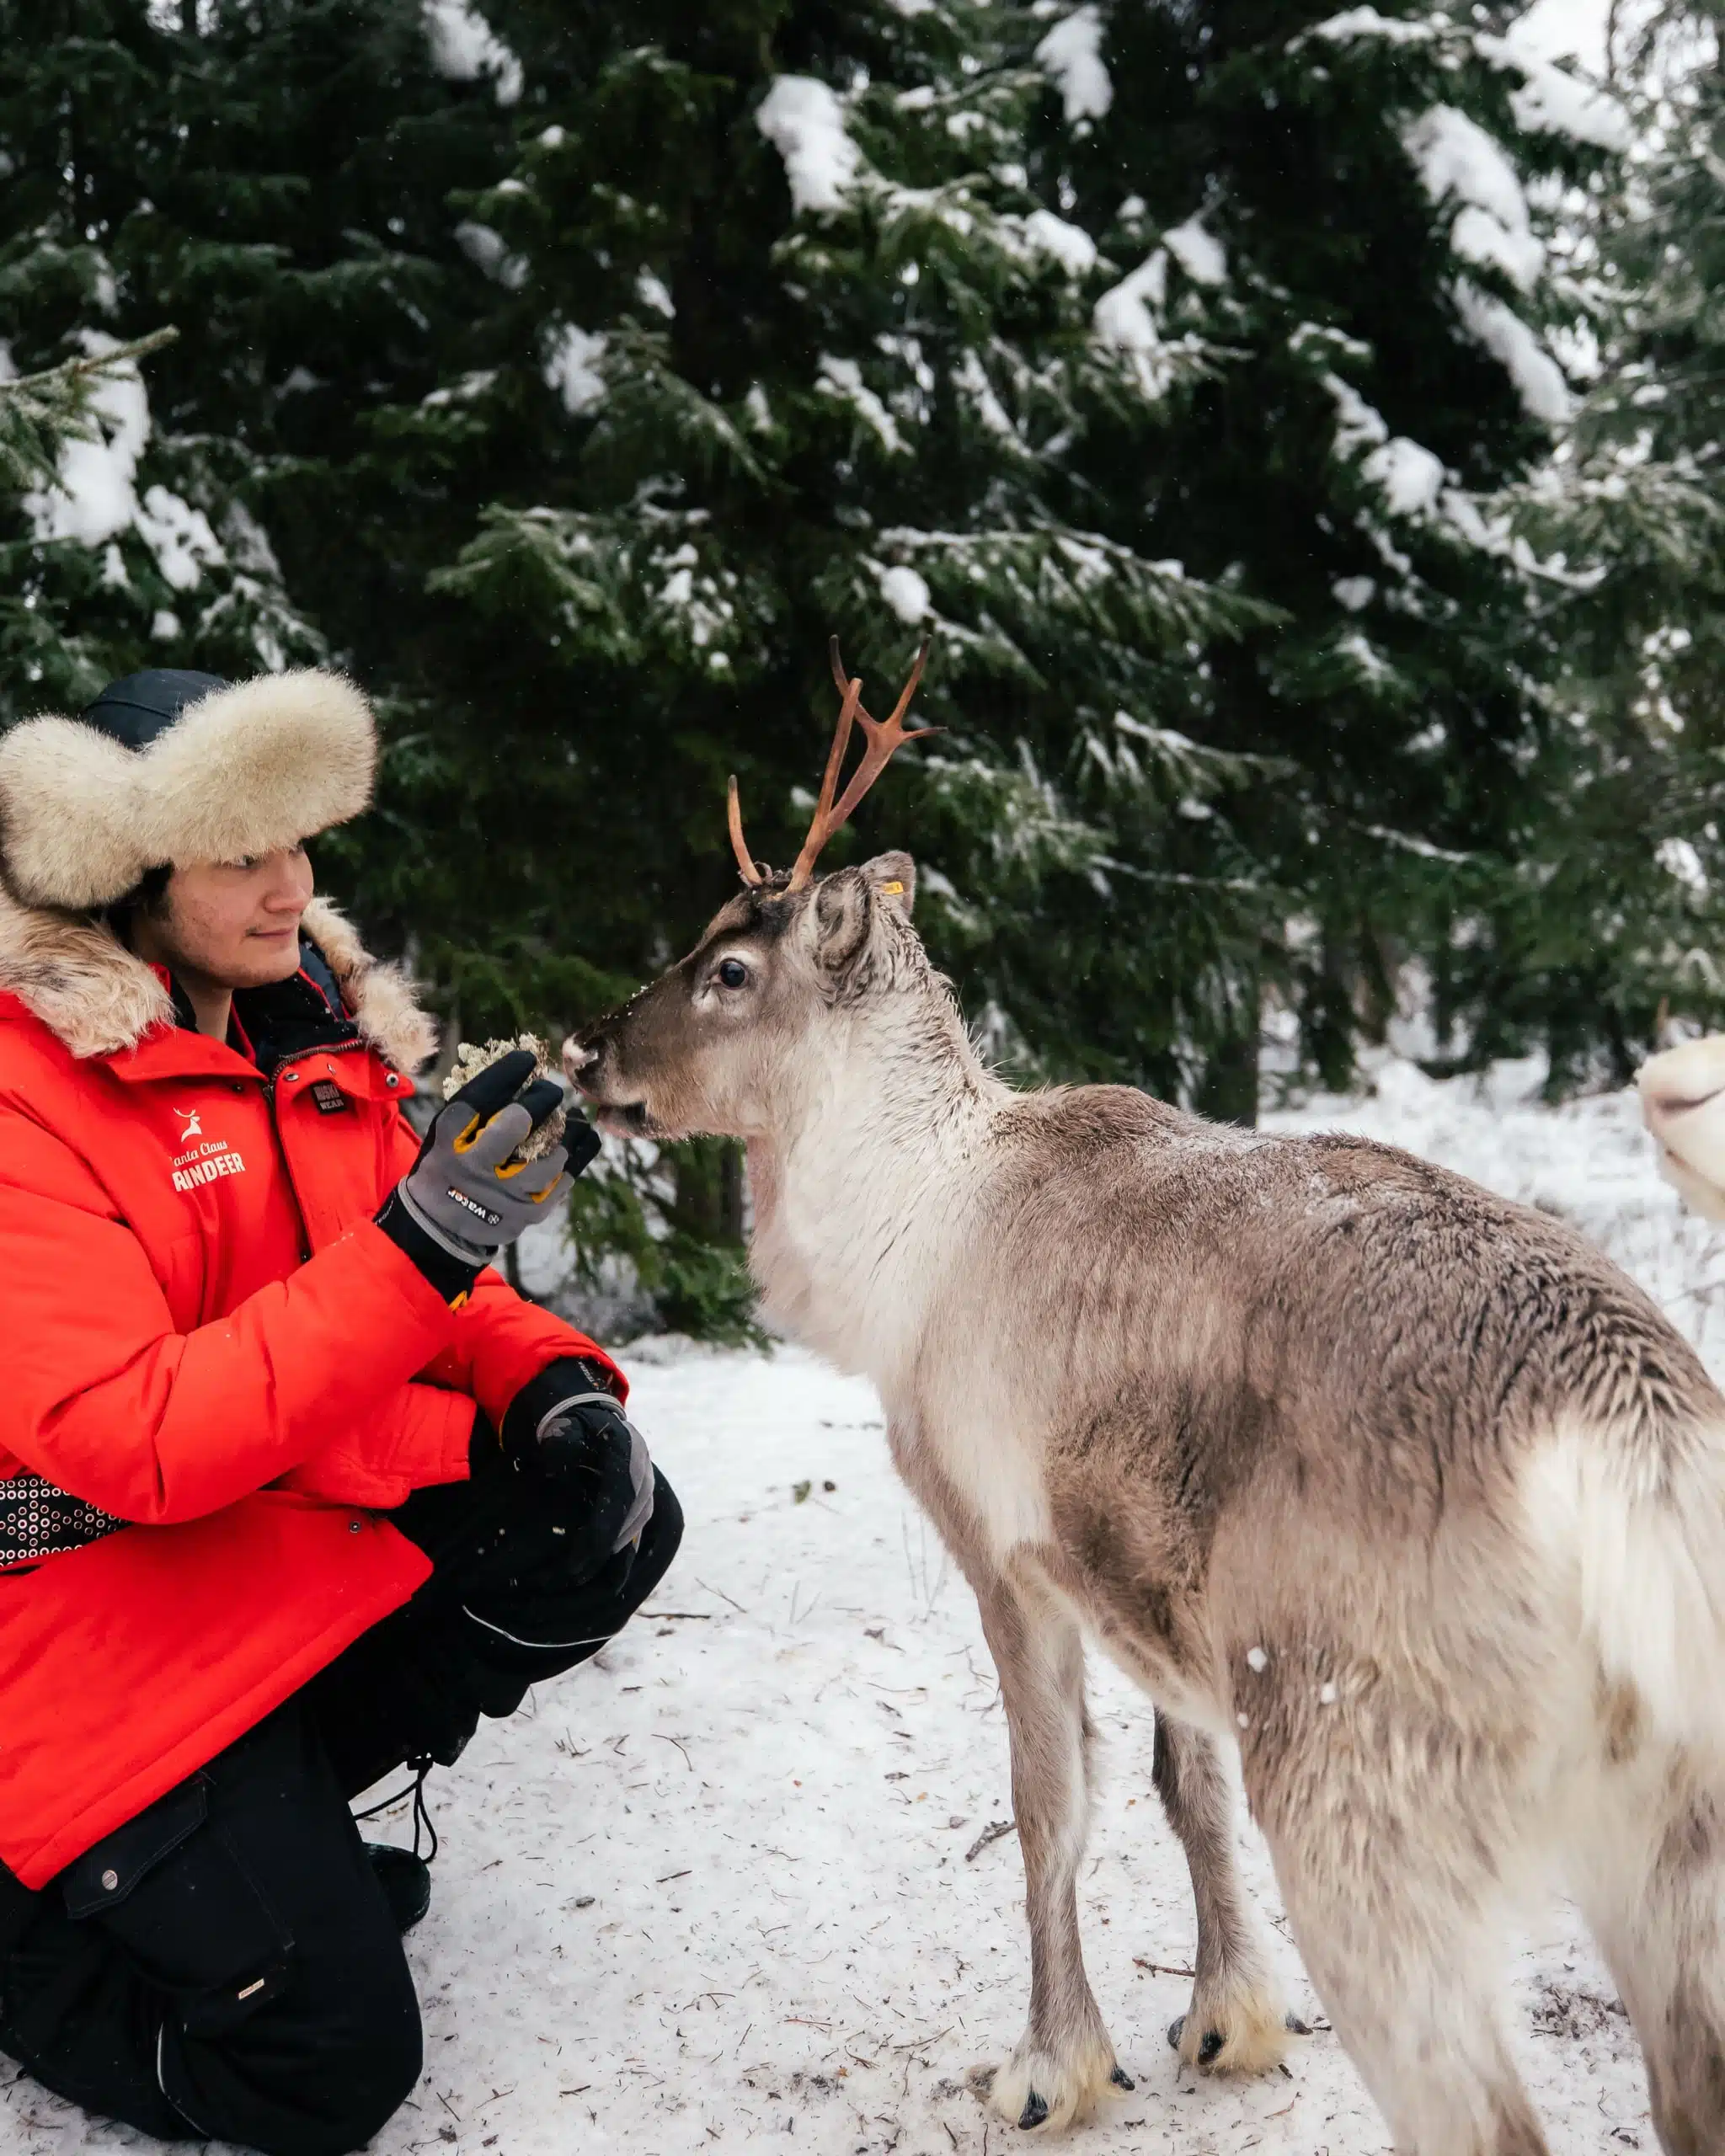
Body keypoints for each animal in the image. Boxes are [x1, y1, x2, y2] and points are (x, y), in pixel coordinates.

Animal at [568, 641, 1725, 2156]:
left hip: (1371, 1783)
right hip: (1671, 1858)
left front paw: (1050, 2067)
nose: (585, 1055)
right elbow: (1188, 1790)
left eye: (728, 967)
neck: (900, 1250)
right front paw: (1226, 2020)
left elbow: (1051, 1804)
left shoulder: (998, 1538)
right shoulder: (1159, 1598)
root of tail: (1638, 1471)